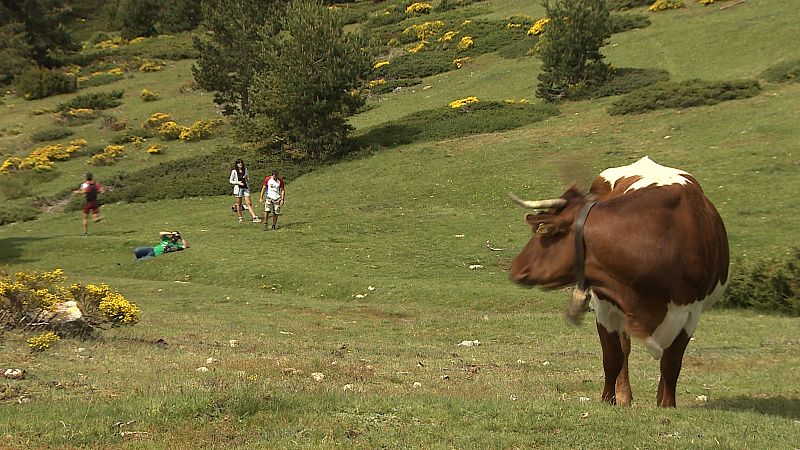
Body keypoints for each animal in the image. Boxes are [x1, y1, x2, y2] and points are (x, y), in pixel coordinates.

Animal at [510, 157, 728, 408]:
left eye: (543, 233)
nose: (514, 268)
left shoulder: (691, 313)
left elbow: (672, 363)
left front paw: (667, 404)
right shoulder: (606, 305)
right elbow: (612, 357)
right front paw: (608, 399)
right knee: (625, 349)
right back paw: (624, 395)